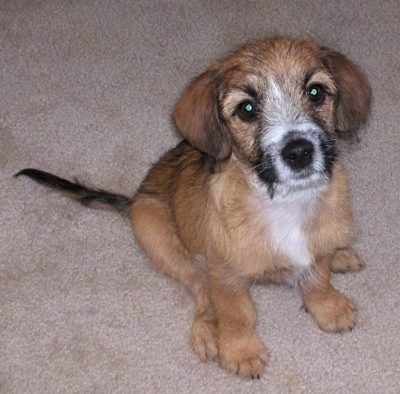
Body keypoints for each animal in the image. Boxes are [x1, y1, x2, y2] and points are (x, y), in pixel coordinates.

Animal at [16, 37, 372, 378]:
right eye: (247, 109)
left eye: (315, 92)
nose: (298, 152)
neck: (286, 203)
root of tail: (133, 199)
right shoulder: (225, 274)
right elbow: (237, 314)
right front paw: (240, 351)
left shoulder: (317, 245)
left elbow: (317, 280)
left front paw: (328, 307)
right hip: (156, 232)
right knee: (200, 290)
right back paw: (206, 331)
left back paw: (342, 255)